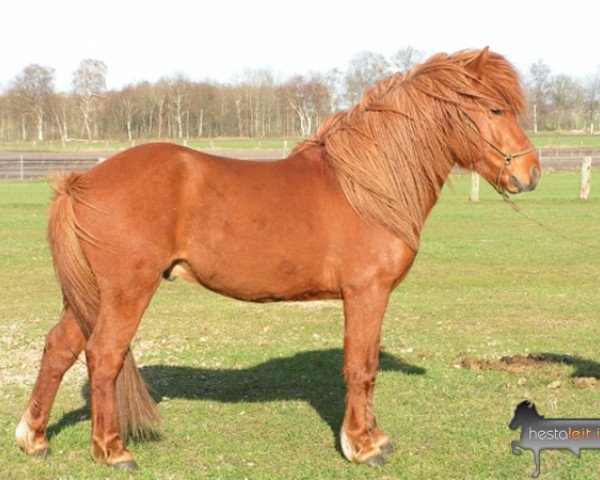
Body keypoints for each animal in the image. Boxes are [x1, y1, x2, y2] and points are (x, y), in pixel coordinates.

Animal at [16, 47, 540, 468]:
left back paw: (35, 439)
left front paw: (369, 438)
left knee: (59, 349)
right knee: (103, 355)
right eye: (495, 107)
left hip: (91, 295)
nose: (532, 173)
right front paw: (364, 446)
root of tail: (80, 182)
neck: (366, 186)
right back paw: (112, 450)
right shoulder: (366, 293)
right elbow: (362, 366)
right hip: (127, 291)